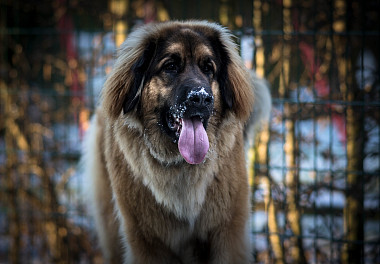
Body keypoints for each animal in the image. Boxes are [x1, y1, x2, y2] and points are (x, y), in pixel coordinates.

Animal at [83, 19, 272, 262]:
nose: (200, 97)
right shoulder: (147, 241)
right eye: (171, 66)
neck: (182, 166)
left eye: (208, 68)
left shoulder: (227, 231)